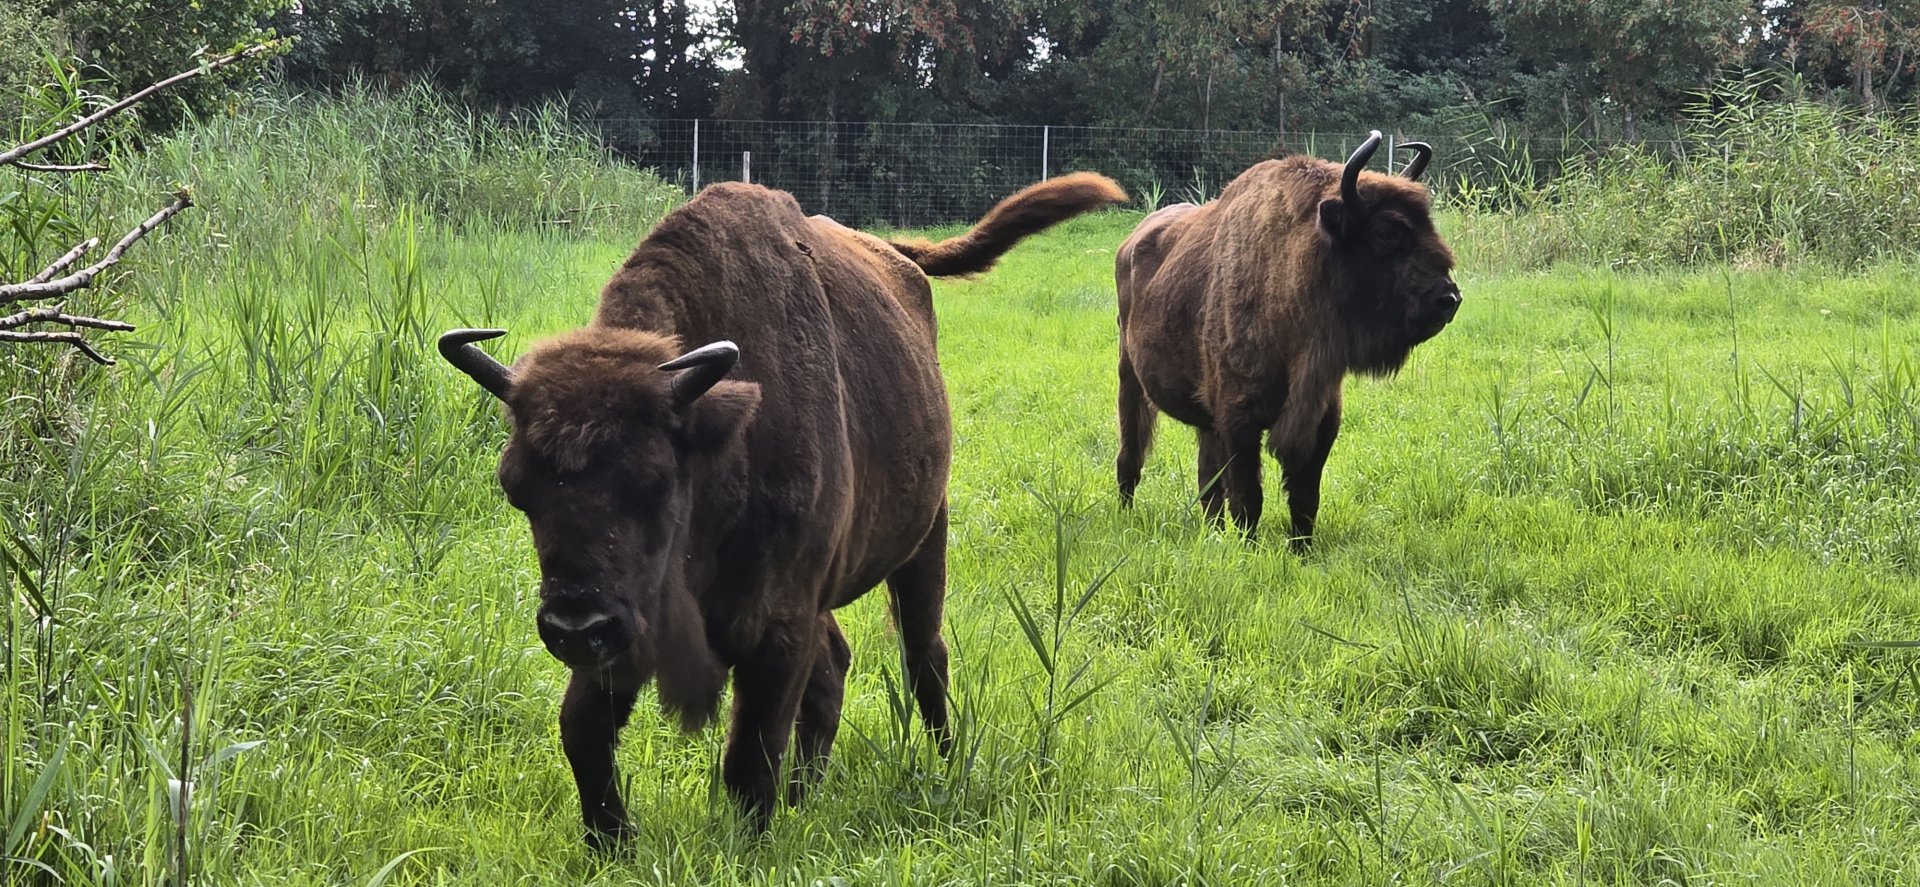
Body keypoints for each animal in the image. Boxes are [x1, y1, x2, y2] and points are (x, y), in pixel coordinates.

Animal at [438, 172, 1125, 846]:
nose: (574, 627)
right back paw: (805, 795)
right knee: (836, 667)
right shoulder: (633, 625)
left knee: (923, 654)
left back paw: (942, 765)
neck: (719, 435)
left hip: (926, 536)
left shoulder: (775, 621)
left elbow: (750, 759)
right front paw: (615, 844)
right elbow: (584, 729)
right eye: (516, 487)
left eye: (656, 482)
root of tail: (898, 257)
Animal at [1113, 131, 1460, 549]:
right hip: (1130, 379)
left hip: (1202, 419)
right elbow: (1248, 498)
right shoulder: (1239, 418)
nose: (1448, 299)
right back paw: (1126, 514)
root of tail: (1131, 243)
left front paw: (1301, 550)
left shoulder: (1320, 416)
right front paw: (1248, 549)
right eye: (1384, 233)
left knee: (1207, 480)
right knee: (1131, 457)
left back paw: (1211, 533)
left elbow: (1304, 496)